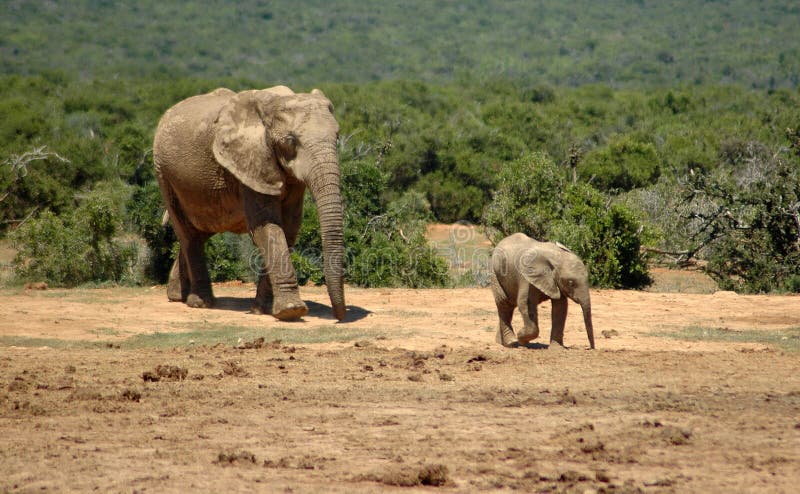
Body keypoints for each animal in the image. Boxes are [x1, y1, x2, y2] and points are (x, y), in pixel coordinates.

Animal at [155, 86, 346, 320]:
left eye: (337, 137)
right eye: (290, 141)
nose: (340, 316)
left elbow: (289, 228)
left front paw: (262, 310)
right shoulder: (250, 161)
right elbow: (267, 227)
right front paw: (292, 311)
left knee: (199, 231)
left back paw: (176, 296)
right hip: (164, 174)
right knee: (189, 234)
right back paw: (200, 303)